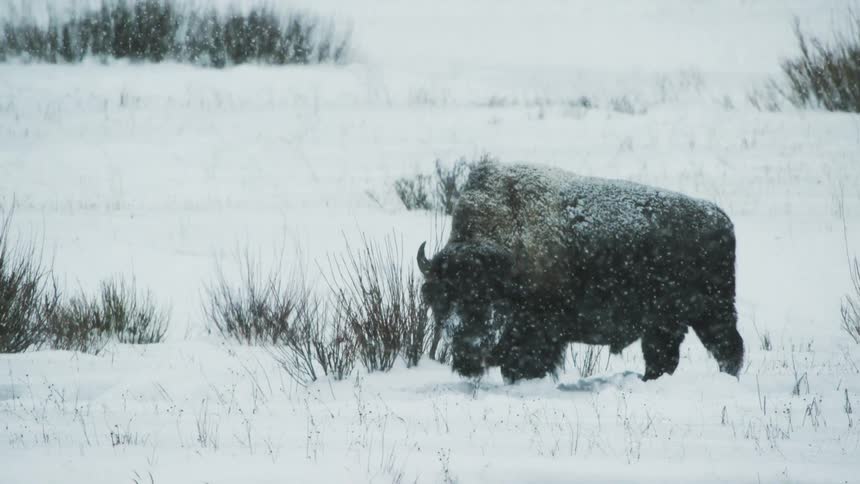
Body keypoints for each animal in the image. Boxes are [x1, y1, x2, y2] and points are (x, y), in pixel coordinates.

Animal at [417, 161, 743, 382]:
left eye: (485, 296)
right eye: (442, 296)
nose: (464, 339)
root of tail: (721, 218)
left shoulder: (537, 331)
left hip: (712, 311)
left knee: (728, 347)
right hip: (666, 322)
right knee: (663, 356)